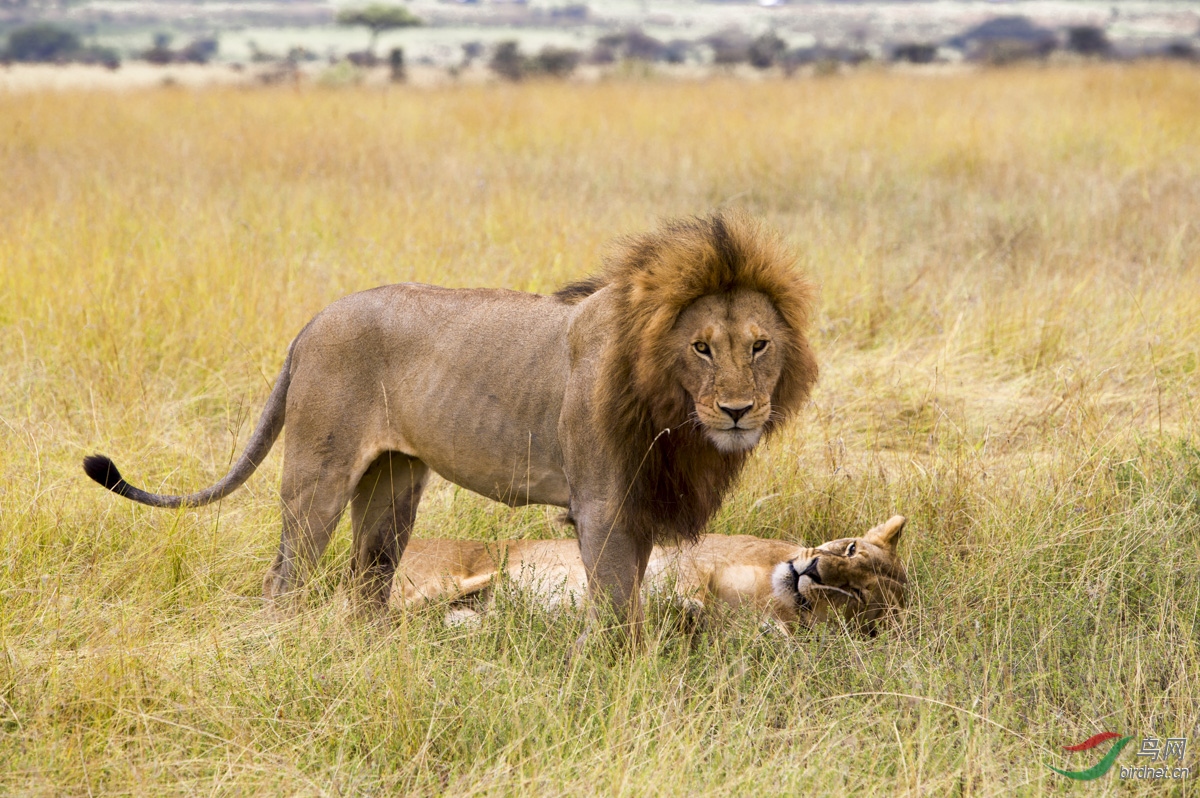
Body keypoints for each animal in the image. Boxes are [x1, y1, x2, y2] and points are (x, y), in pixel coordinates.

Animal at [82, 213, 816, 633]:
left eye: (759, 345)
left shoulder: (634, 505)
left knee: (367, 582)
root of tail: (312, 324)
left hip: (392, 485)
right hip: (318, 474)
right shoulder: (603, 504)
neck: (673, 411)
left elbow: (629, 598)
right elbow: (615, 608)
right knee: (286, 576)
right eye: (701, 348)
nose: (739, 410)